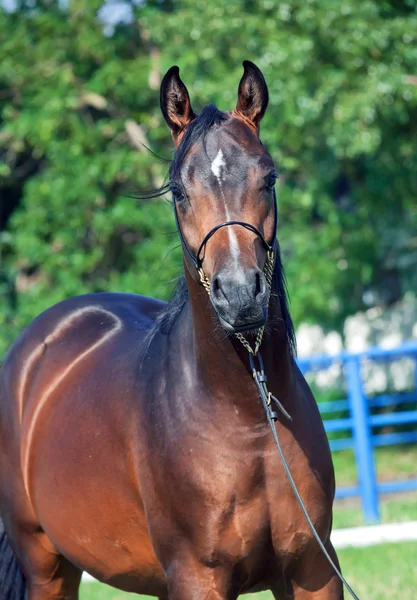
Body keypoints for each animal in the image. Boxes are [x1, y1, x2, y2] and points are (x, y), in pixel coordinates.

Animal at [0, 62, 342, 600]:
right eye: (179, 191)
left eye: (268, 177)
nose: (240, 295)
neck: (246, 419)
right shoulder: (198, 577)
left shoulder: (314, 571)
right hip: (46, 567)